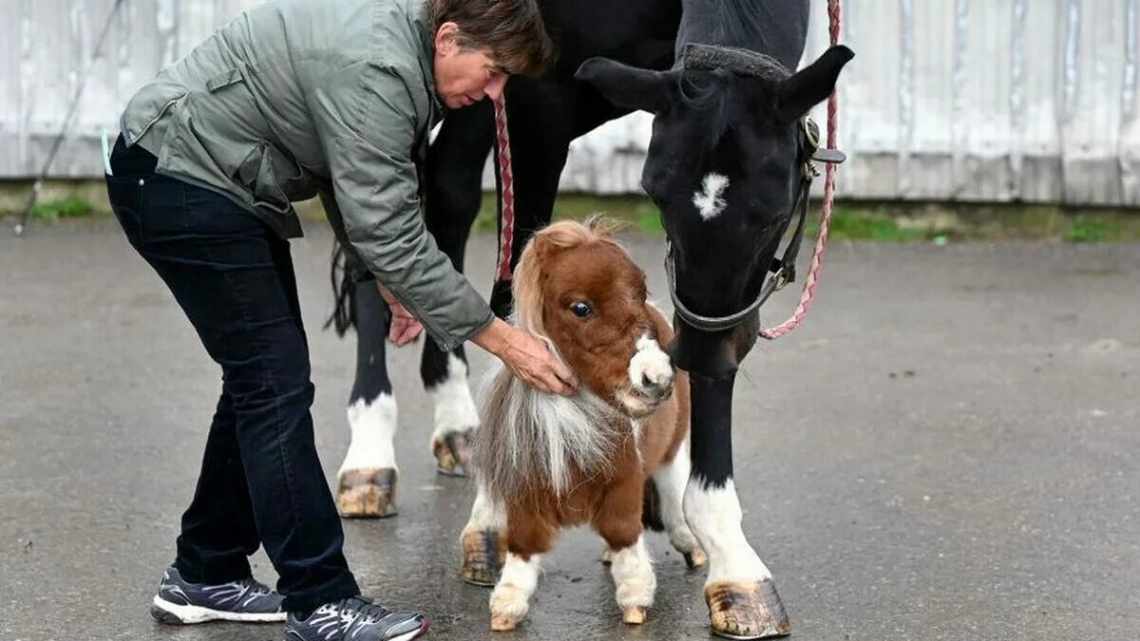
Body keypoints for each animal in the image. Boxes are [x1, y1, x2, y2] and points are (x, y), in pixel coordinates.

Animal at [456, 218, 702, 629]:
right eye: (581, 308)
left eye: (640, 291)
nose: (656, 378)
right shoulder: (526, 488)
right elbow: (523, 544)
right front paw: (507, 607)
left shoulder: (624, 479)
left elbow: (624, 531)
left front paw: (635, 599)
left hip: (674, 443)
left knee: (671, 485)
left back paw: (690, 545)